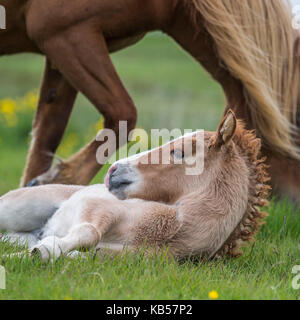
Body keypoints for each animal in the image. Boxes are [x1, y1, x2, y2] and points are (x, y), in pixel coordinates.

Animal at [0, 111, 270, 262]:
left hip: (18, 235)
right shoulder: (100, 208)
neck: (173, 230)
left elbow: (75, 253)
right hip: (14, 208)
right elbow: (89, 232)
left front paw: (32, 254)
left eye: (179, 152)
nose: (113, 171)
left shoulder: (115, 258)